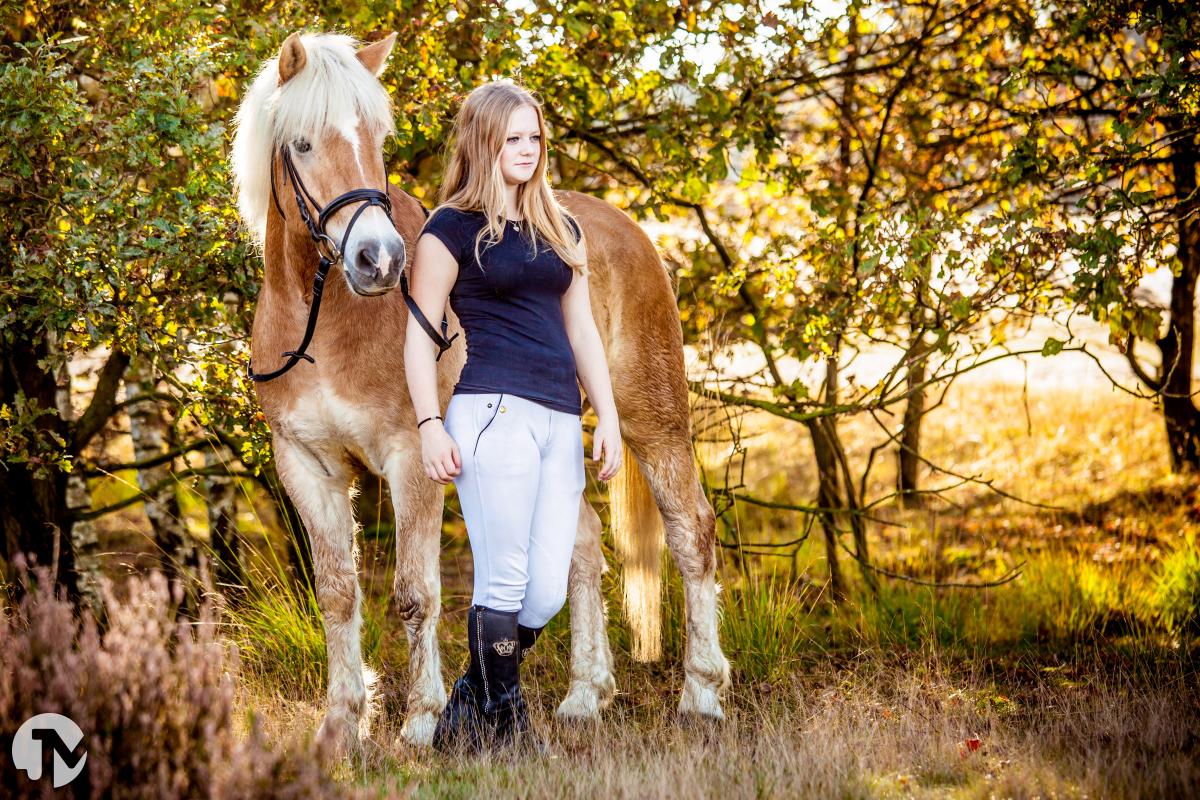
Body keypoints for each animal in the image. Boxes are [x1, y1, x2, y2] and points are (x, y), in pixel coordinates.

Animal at [229, 31, 724, 753]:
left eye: (377, 136)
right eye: (302, 144)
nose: (379, 260)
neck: (324, 320)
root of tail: (628, 230)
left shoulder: (411, 457)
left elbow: (415, 593)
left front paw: (420, 721)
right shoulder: (306, 465)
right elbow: (338, 593)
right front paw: (342, 723)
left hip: (653, 424)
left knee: (692, 534)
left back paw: (703, 696)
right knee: (580, 545)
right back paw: (584, 697)